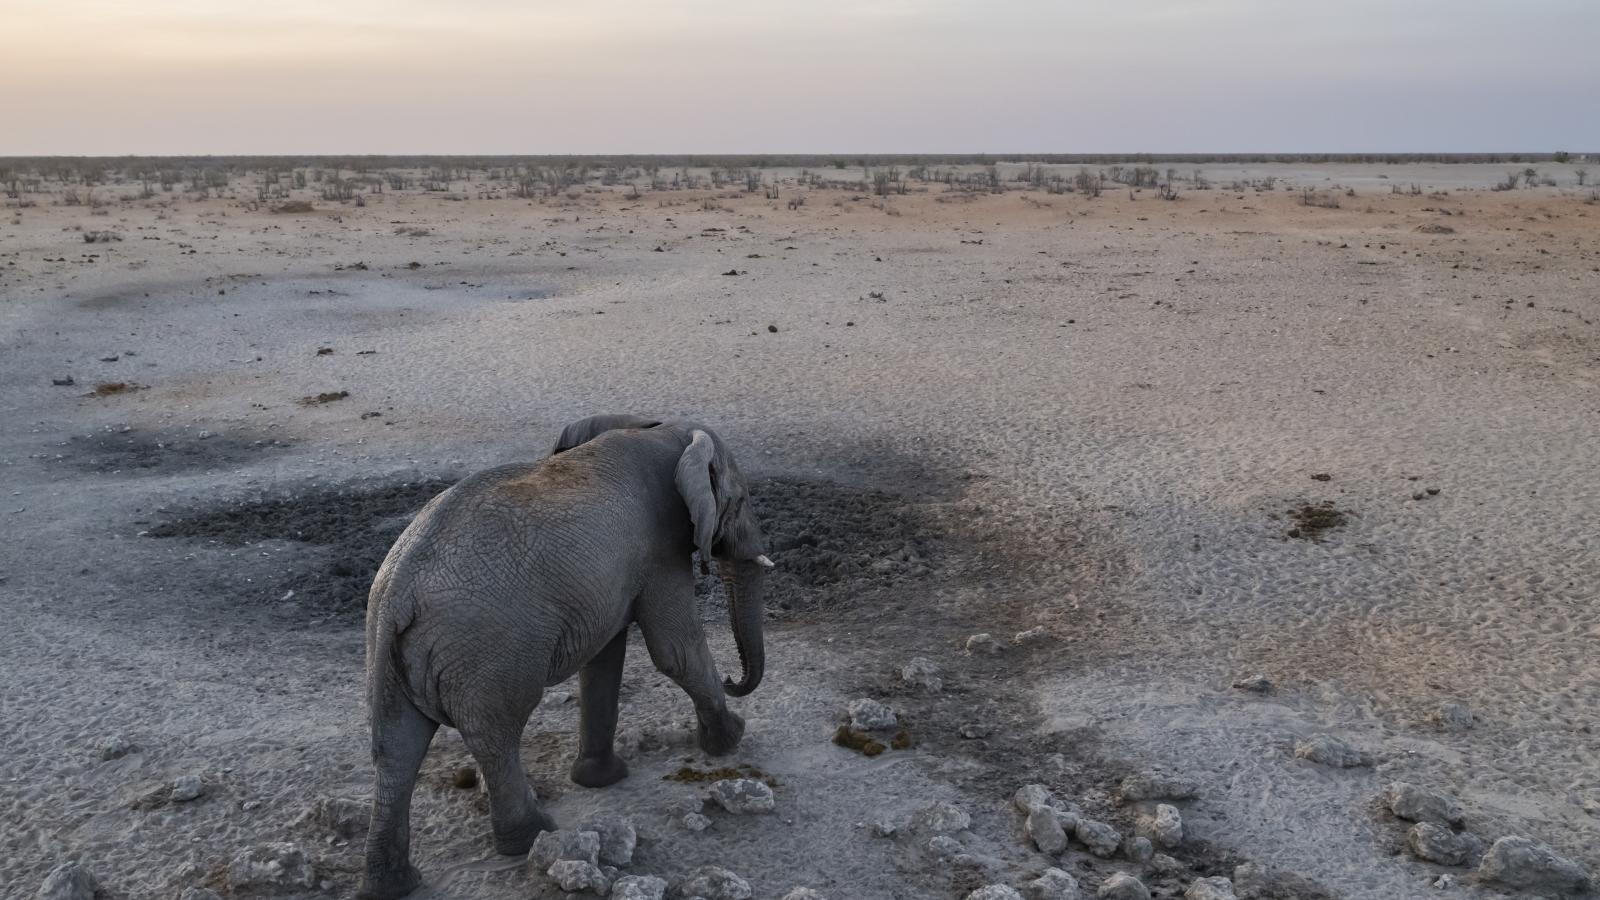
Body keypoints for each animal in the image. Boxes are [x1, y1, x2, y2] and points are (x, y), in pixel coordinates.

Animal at [360, 413, 771, 896]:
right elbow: (675, 650)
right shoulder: (661, 548)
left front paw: (601, 779)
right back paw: (532, 837)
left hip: (385, 652)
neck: (661, 430)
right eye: (740, 500)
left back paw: (392, 884)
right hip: (487, 651)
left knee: (395, 748)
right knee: (495, 735)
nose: (732, 679)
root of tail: (398, 593)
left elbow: (604, 661)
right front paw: (732, 739)